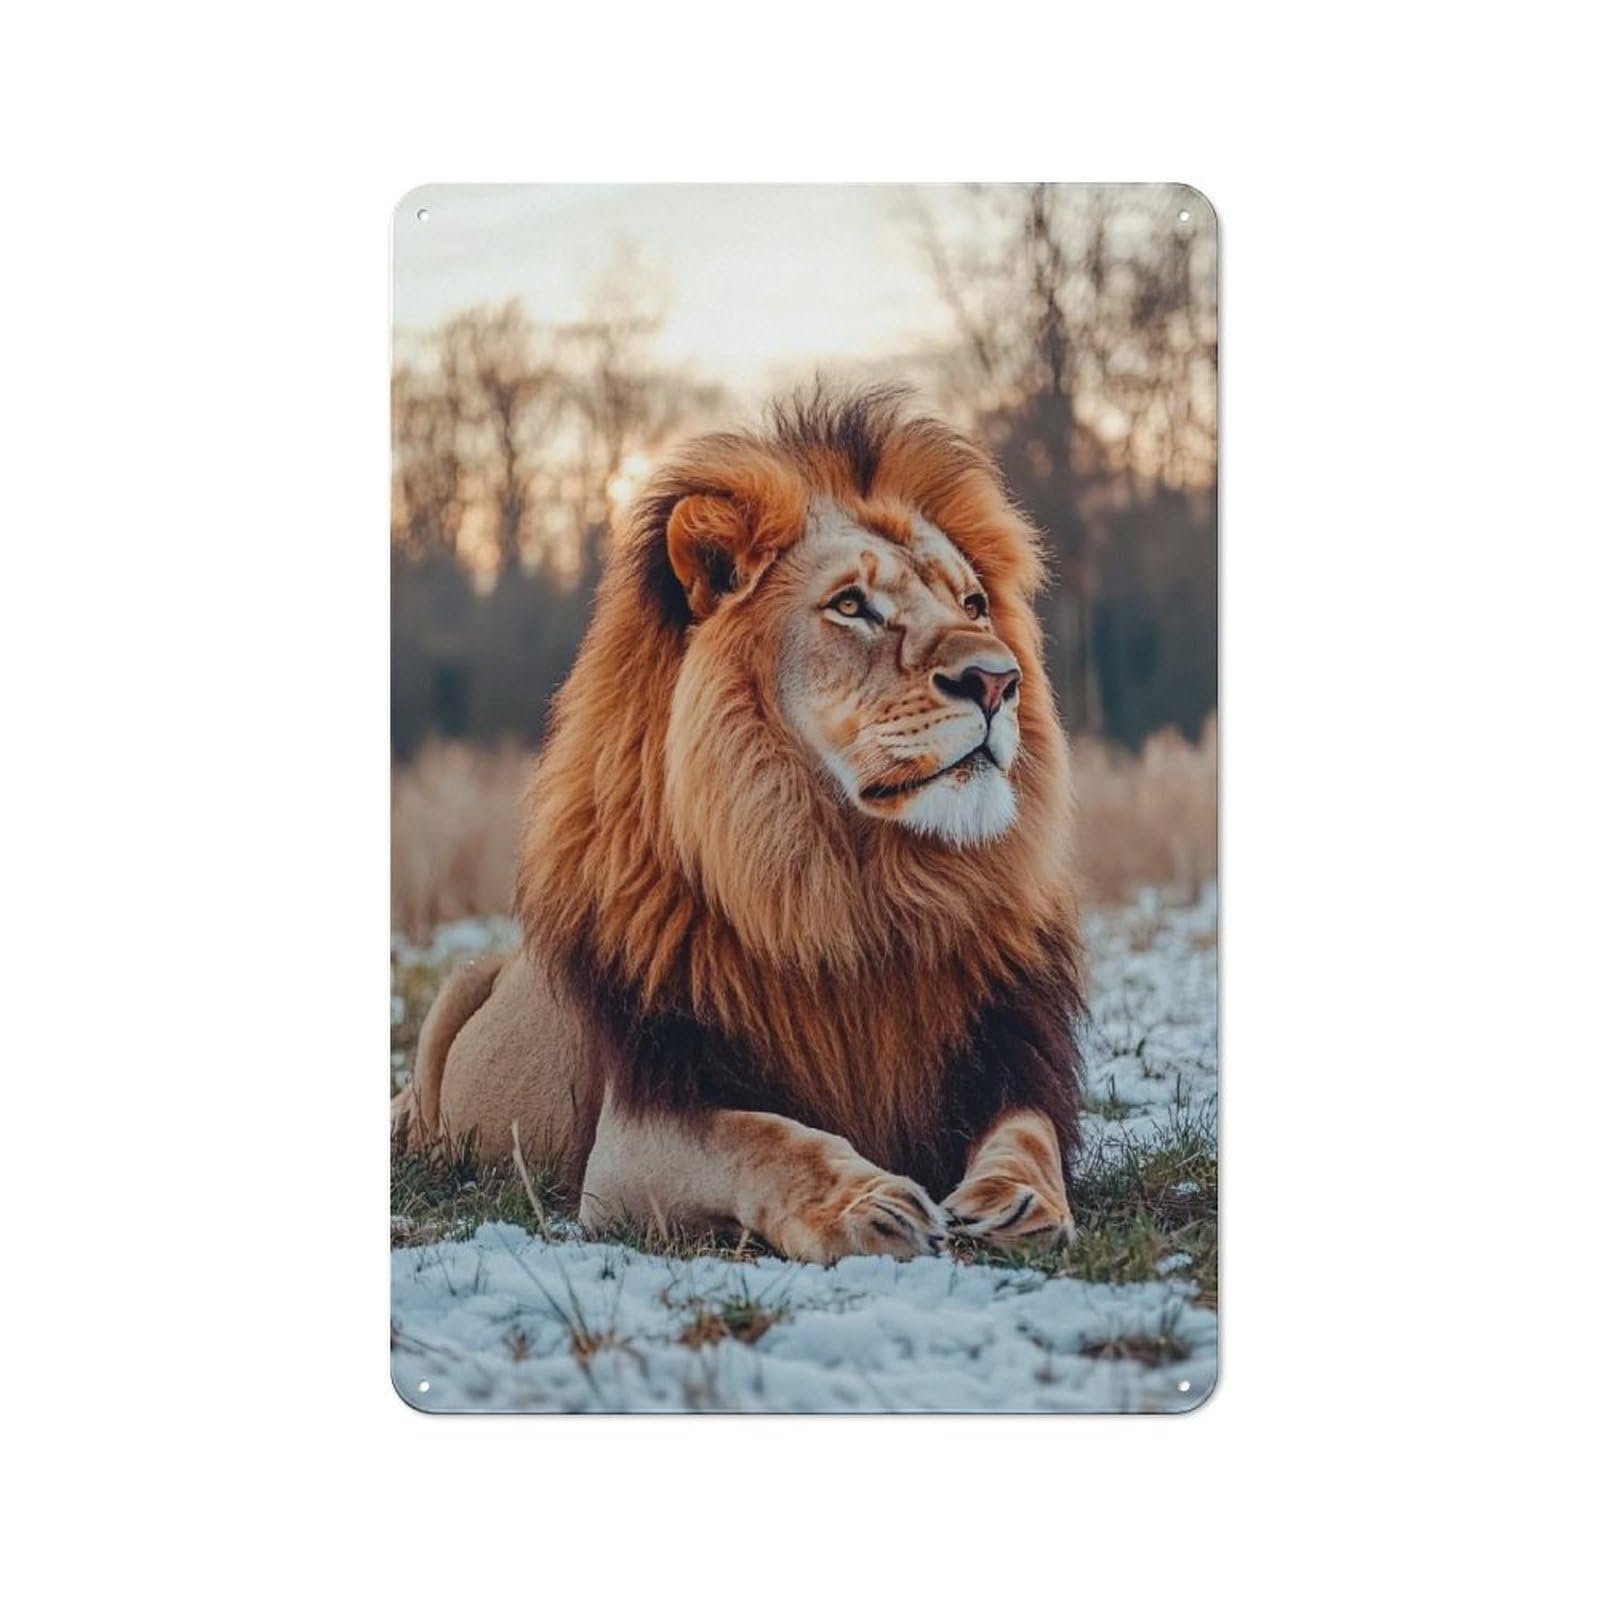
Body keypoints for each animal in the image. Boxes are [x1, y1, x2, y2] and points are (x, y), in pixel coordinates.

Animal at [394, 385, 1085, 1263]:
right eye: (852, 606)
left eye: (974, 604)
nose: (998, 680)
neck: (866, 884)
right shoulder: (640, 1128)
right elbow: (766, 1139)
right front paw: (865, 1202)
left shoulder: (1013, 1058)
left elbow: (1025, 1134)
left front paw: (1015, 1200)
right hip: (452, 999)